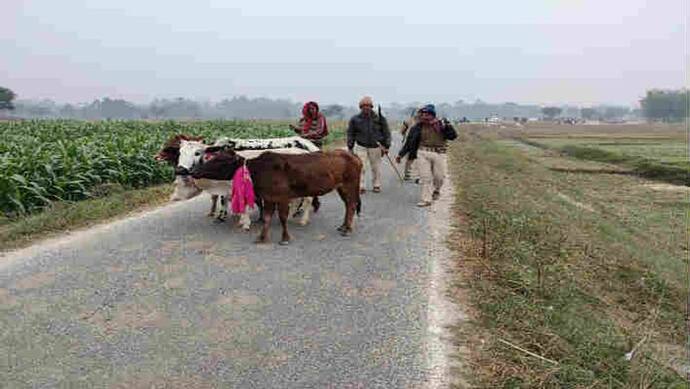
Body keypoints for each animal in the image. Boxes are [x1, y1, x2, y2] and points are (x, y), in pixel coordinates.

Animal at [188, 148, 360, 242]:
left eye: (221, 161)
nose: (193, 171)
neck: (259, 169)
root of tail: (352, 155)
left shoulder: (281, 197)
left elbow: (282, 217)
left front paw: (284, 238)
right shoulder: (268, 197)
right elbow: (267, 217)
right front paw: (261, 236)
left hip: (350, 185)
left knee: (351, 205)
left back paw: (346, 229)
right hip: (341, 187)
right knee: (347, 205)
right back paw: (343, 226)